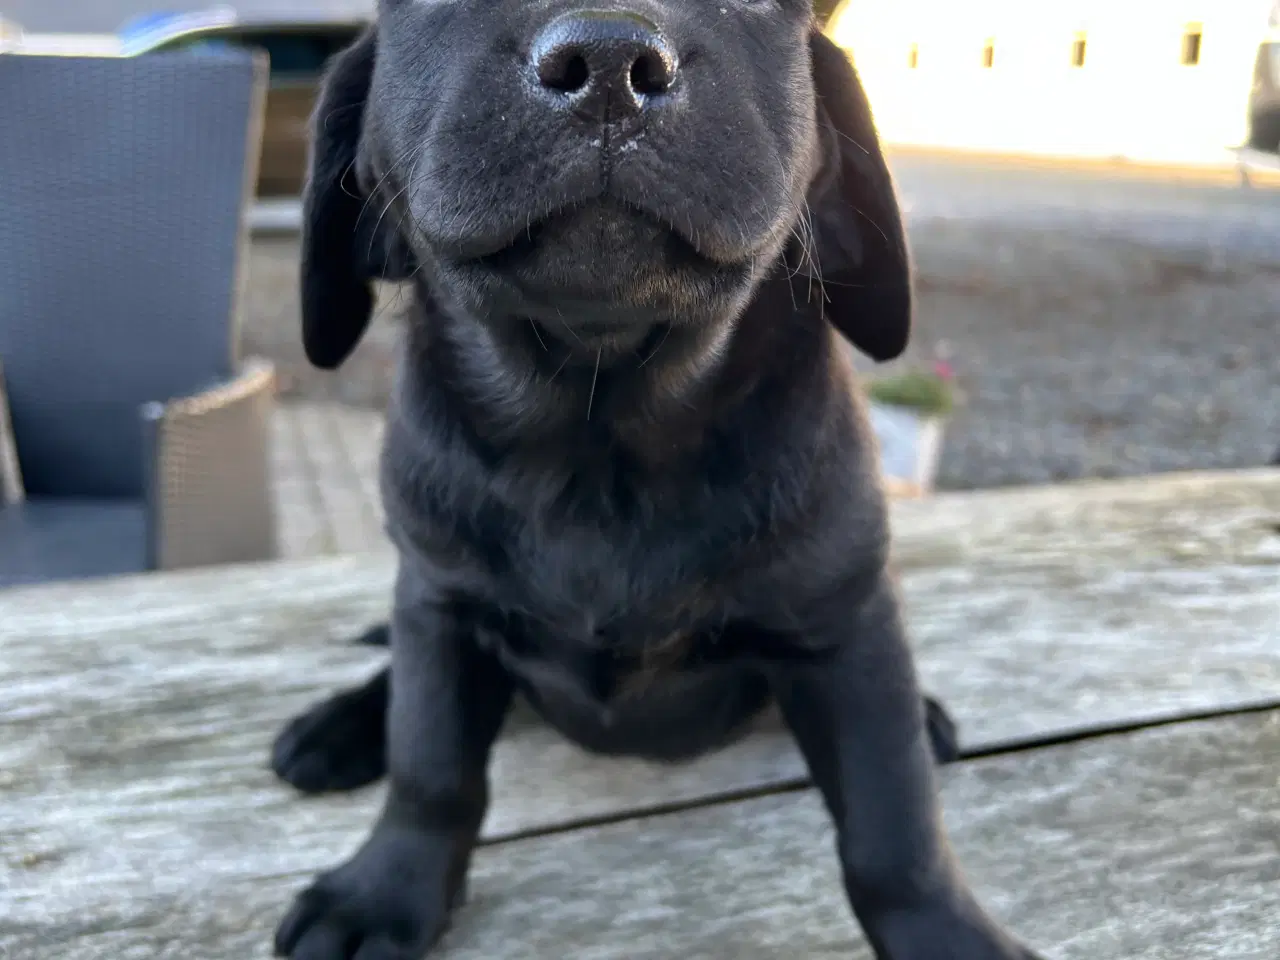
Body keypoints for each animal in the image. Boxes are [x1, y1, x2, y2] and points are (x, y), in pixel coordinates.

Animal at [267, 3, 1039, 957]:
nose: (608, 66)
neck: (599, 440)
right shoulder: (437, 607)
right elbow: (430, 764)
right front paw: (383, 890)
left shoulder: (846, 626)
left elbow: (893, 821)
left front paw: (945, 931)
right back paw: (337, 727)